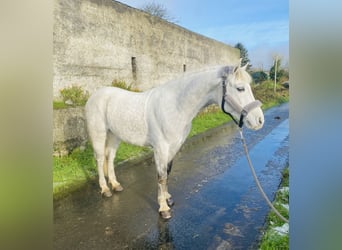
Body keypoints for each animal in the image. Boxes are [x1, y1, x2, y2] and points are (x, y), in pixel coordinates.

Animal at [84, 61, 264, 219]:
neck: (175, 105)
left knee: (110, 158)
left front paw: (168, 198)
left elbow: (168, 173)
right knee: (100, 159)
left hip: (114, 136)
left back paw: (115, 185)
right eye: (240, 88)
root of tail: (95, 95)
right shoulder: (160, 148)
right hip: (99, 134)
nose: (259, 121)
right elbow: (161, 176)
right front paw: (163, 208)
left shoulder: (174, 146)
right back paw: (105, 189)